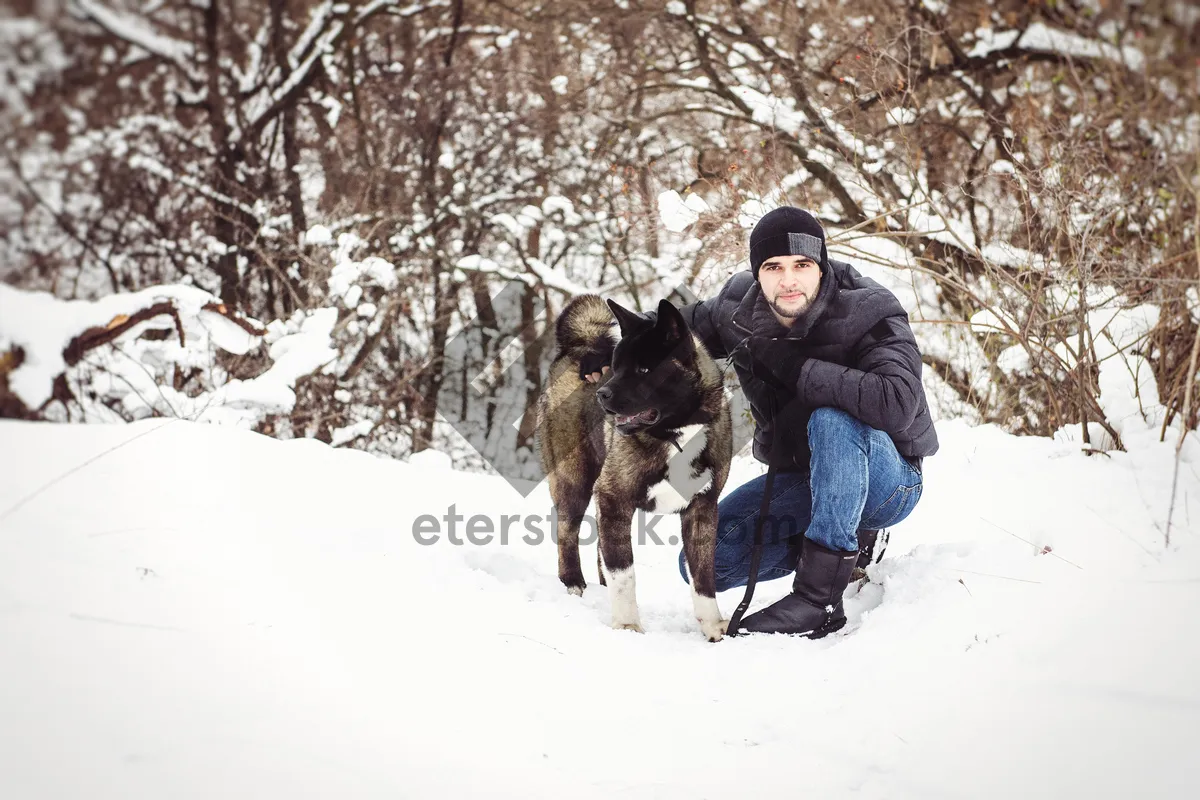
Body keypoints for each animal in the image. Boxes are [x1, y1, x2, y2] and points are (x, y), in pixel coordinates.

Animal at [535, 297, 729, 642]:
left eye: (644, 369)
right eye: (616, 367)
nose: (602, 394)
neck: (676, 433)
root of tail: (576, 349)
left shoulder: (702, 510)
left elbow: (704, 577)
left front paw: (712, 626)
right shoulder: (615, 497)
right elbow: (625, 573)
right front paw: (627, 626)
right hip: (575, 481)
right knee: (567, 532)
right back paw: (573, 584)